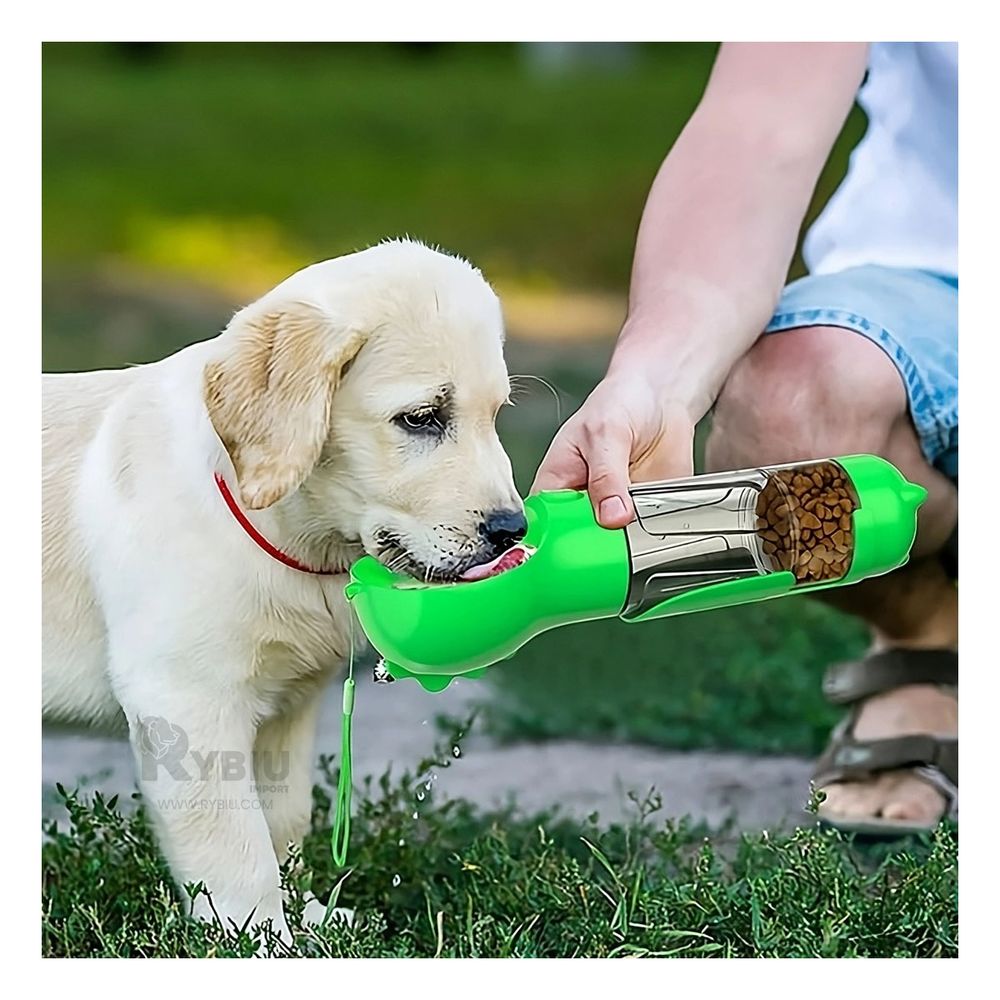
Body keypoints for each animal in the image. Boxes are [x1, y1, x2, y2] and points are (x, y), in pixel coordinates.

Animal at [41, 240, 524, 936]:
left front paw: (308, 917)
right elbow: (233, 843)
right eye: (422, 419)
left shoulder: (286, 706)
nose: (513, 530)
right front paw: (262, 934)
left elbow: (283, 819)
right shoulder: (185, 699)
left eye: (495, 416)